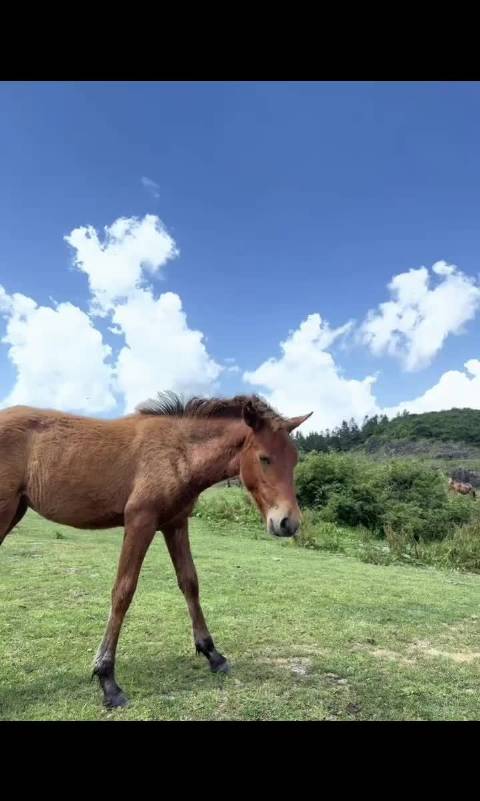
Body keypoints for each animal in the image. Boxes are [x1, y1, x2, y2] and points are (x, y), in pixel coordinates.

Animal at [0, 392, 312, 709]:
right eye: (264, 458)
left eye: (295, 460)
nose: (288, 523)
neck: (178, 452)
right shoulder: (140, 521)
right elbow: (123, 591)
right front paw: (108, 680)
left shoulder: (175, 524)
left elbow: (189, 582)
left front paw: (212, 654)